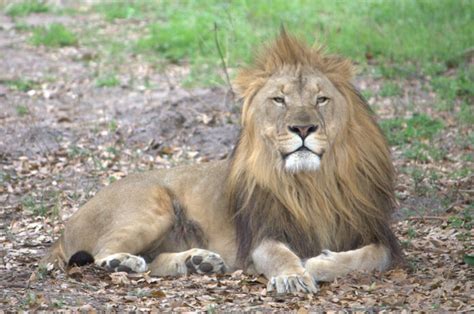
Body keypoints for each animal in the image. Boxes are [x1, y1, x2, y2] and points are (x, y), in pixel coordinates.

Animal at [42, 30, 402, 294]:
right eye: (279, 99)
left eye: (321, 99)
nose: (302, 128)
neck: (314, 183)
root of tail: (64, 229)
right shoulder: (262, 235)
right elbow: (280, 254)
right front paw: (295, 275)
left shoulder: (375, 231)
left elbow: (372, 257)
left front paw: (317, 263)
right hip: (152, 205)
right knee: (103, 254)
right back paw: (125, 264)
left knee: (154, 262)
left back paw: (198, 262)